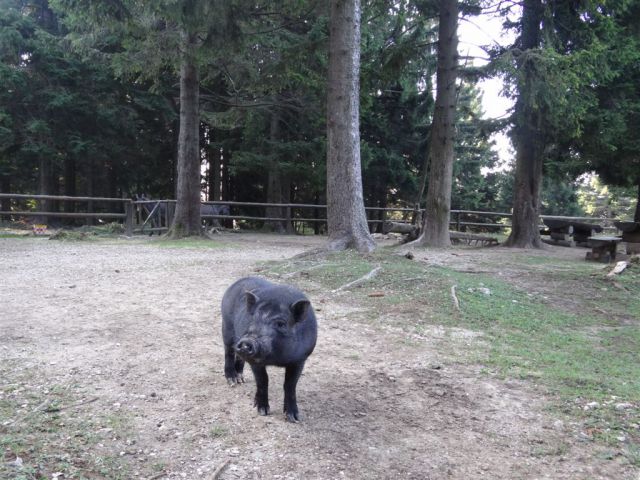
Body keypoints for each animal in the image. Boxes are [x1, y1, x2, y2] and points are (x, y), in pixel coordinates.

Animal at [222, 278, 318, 420]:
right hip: (226, 325)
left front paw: (294, 418)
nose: (246, 342)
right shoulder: (256, 363)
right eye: (253, 319)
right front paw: (262, 411)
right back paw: (233, 381)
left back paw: (241, 379)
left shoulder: (300, 359)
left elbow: (290, 385)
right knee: (228, 351)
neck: (277, 359)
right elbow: (263, 381)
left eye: (281, 323)